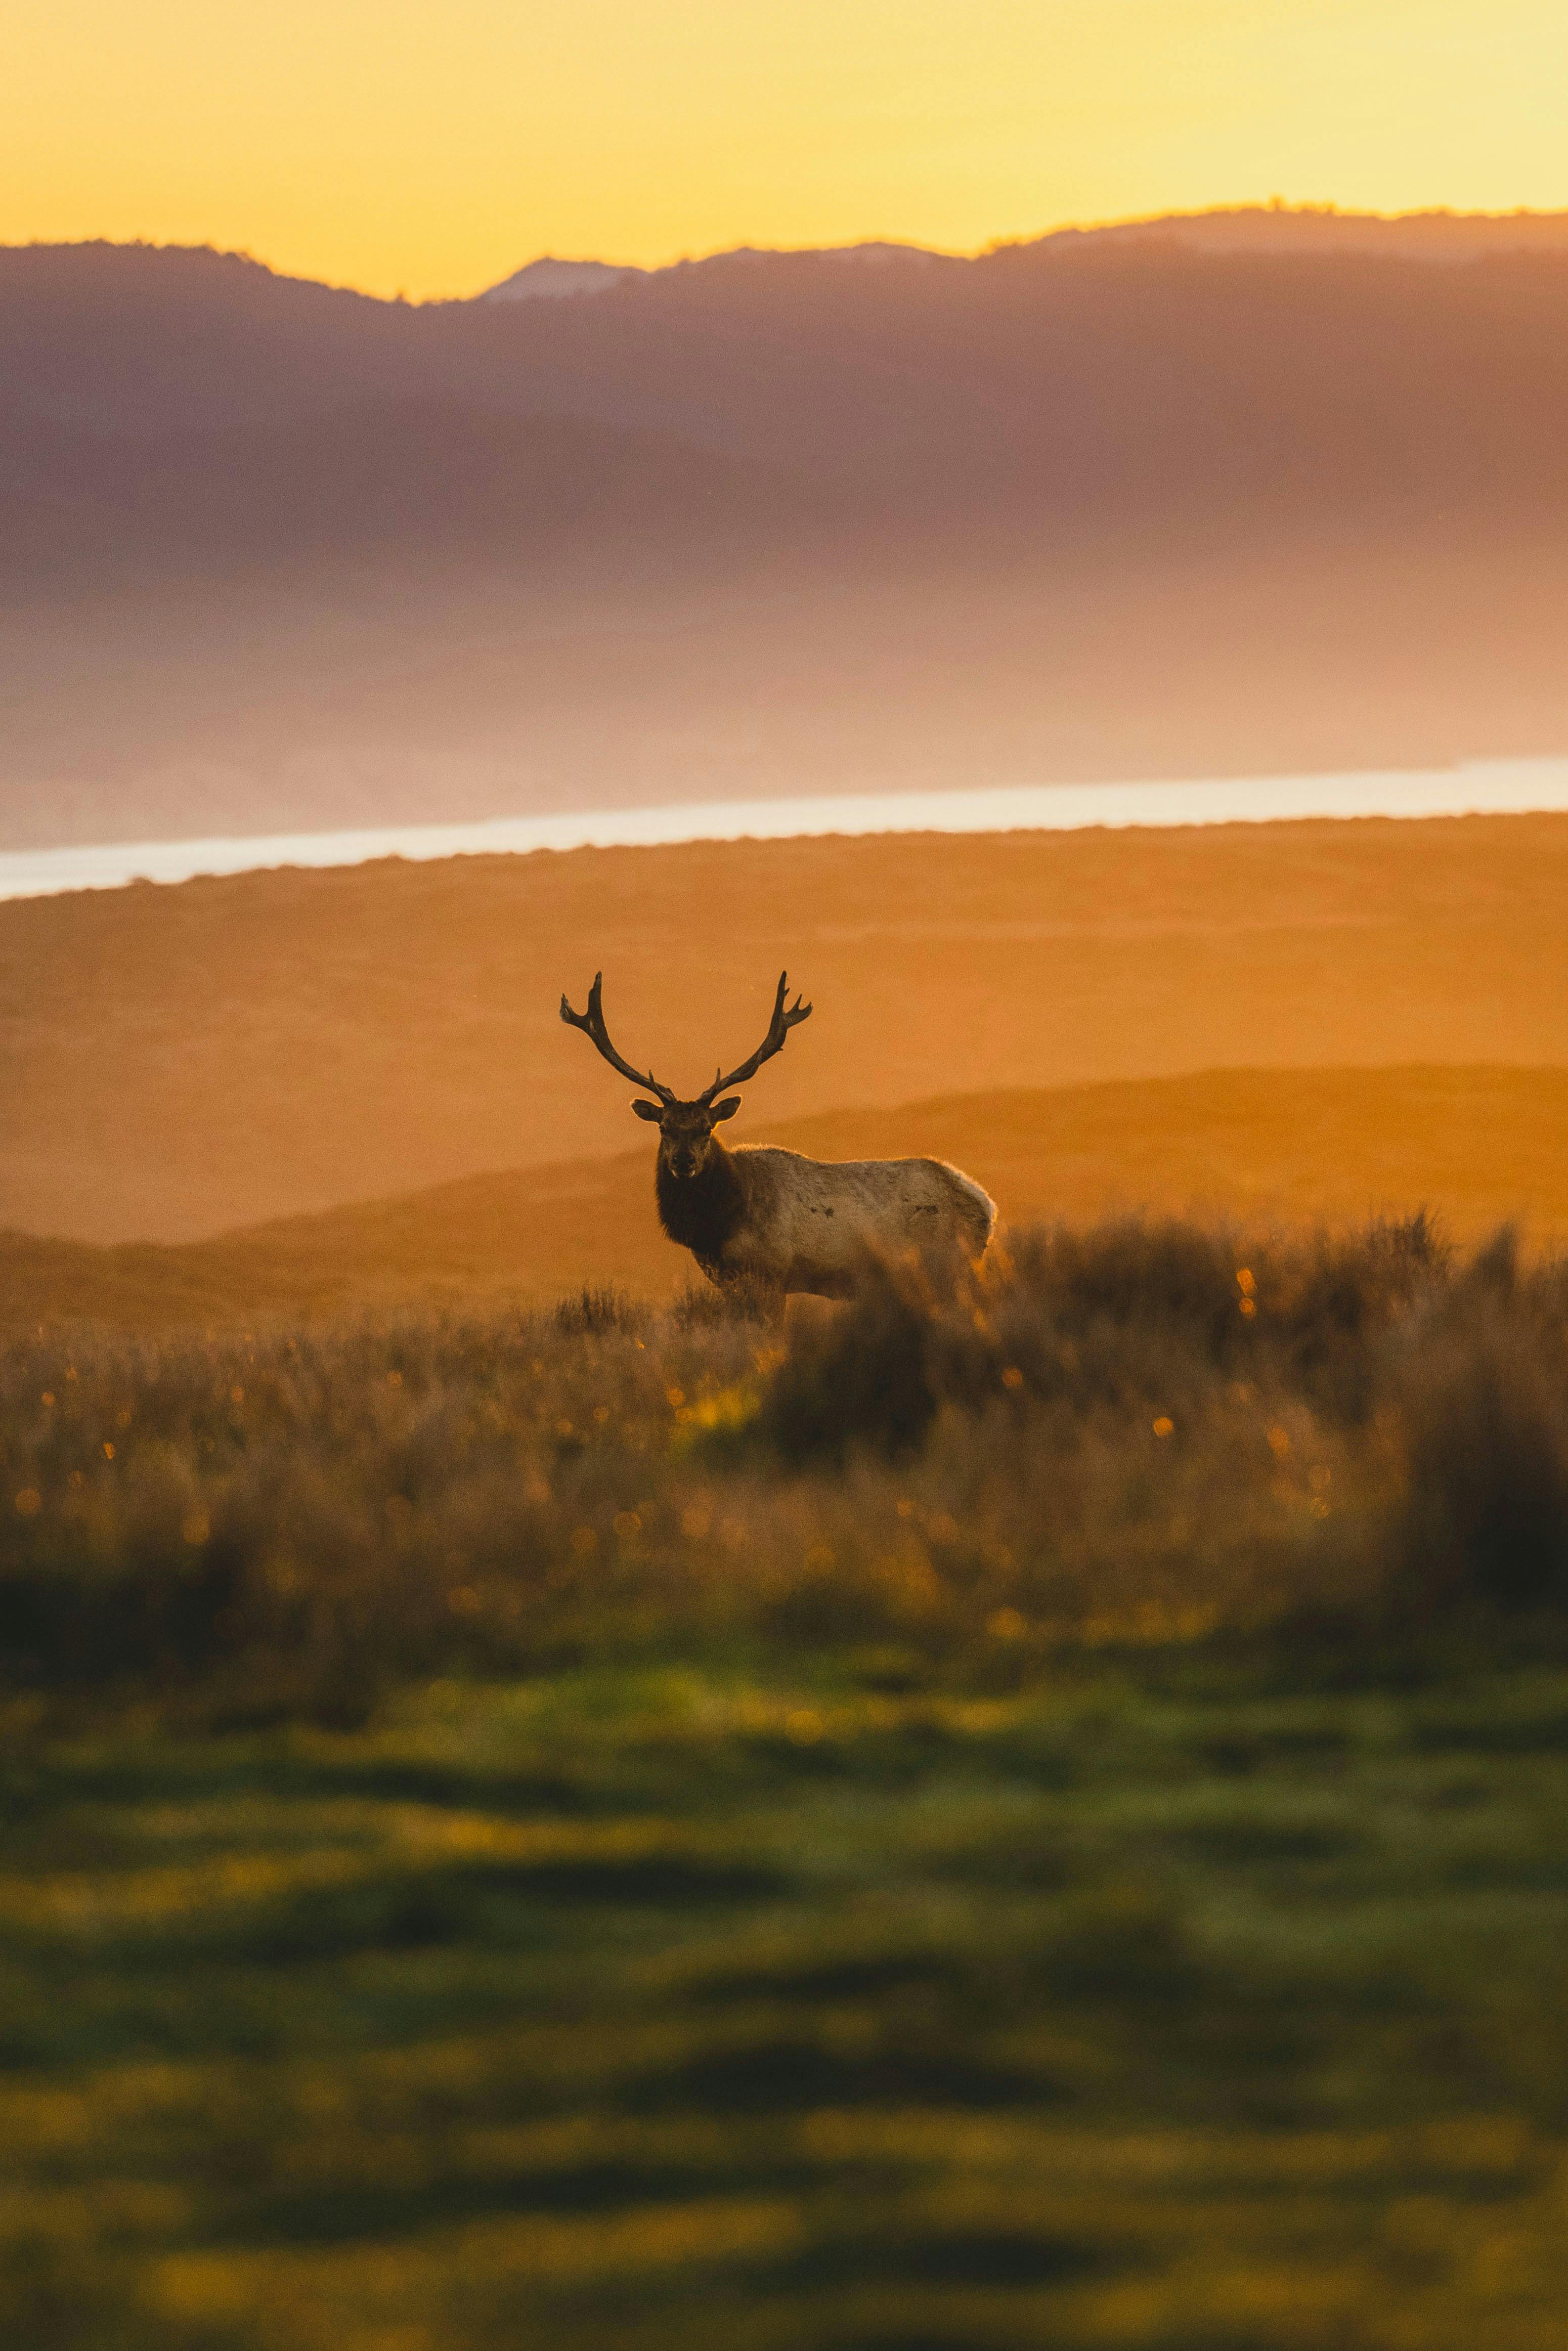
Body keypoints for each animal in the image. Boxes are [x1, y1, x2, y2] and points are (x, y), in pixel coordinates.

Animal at [561, 968, 992, 1307]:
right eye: (664, 1127)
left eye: (707, 1127)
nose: (684, 1162)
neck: (718, 1225)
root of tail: (986, 1206)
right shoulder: (729, 1281)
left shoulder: (769, 1274)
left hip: (949, 1264)